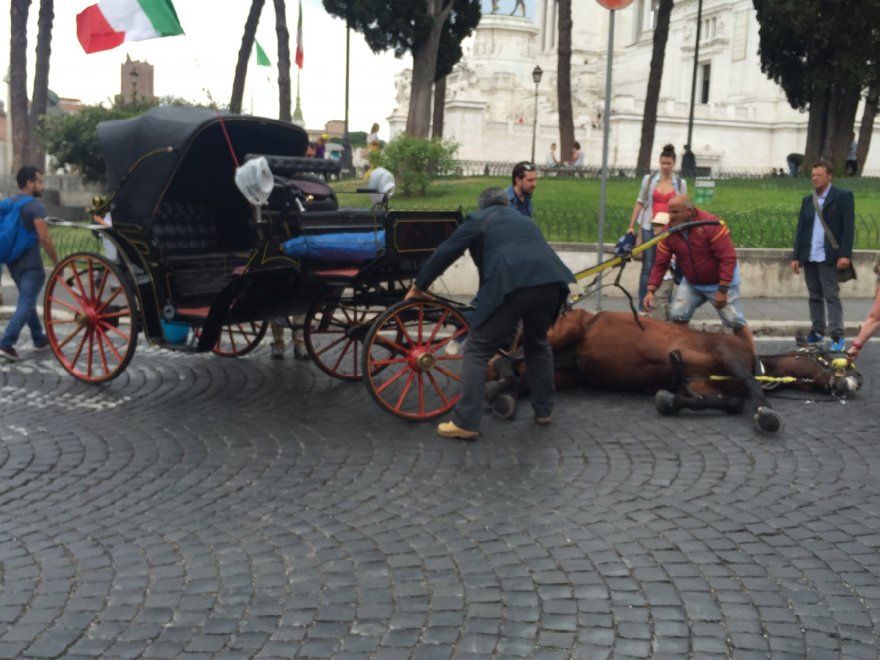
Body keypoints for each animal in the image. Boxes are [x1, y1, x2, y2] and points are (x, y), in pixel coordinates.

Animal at [484, 310, 864, 434]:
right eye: (828, 355)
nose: (855, 380)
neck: (759, 364)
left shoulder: (703, 384)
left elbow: (727, 401)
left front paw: (669, 399)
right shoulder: (727, 351)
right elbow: (748, 391)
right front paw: (766, 412)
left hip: (565, 373)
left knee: (525, 379)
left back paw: (502, 395)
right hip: (563, 331)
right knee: (508, 360)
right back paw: (499, 378)